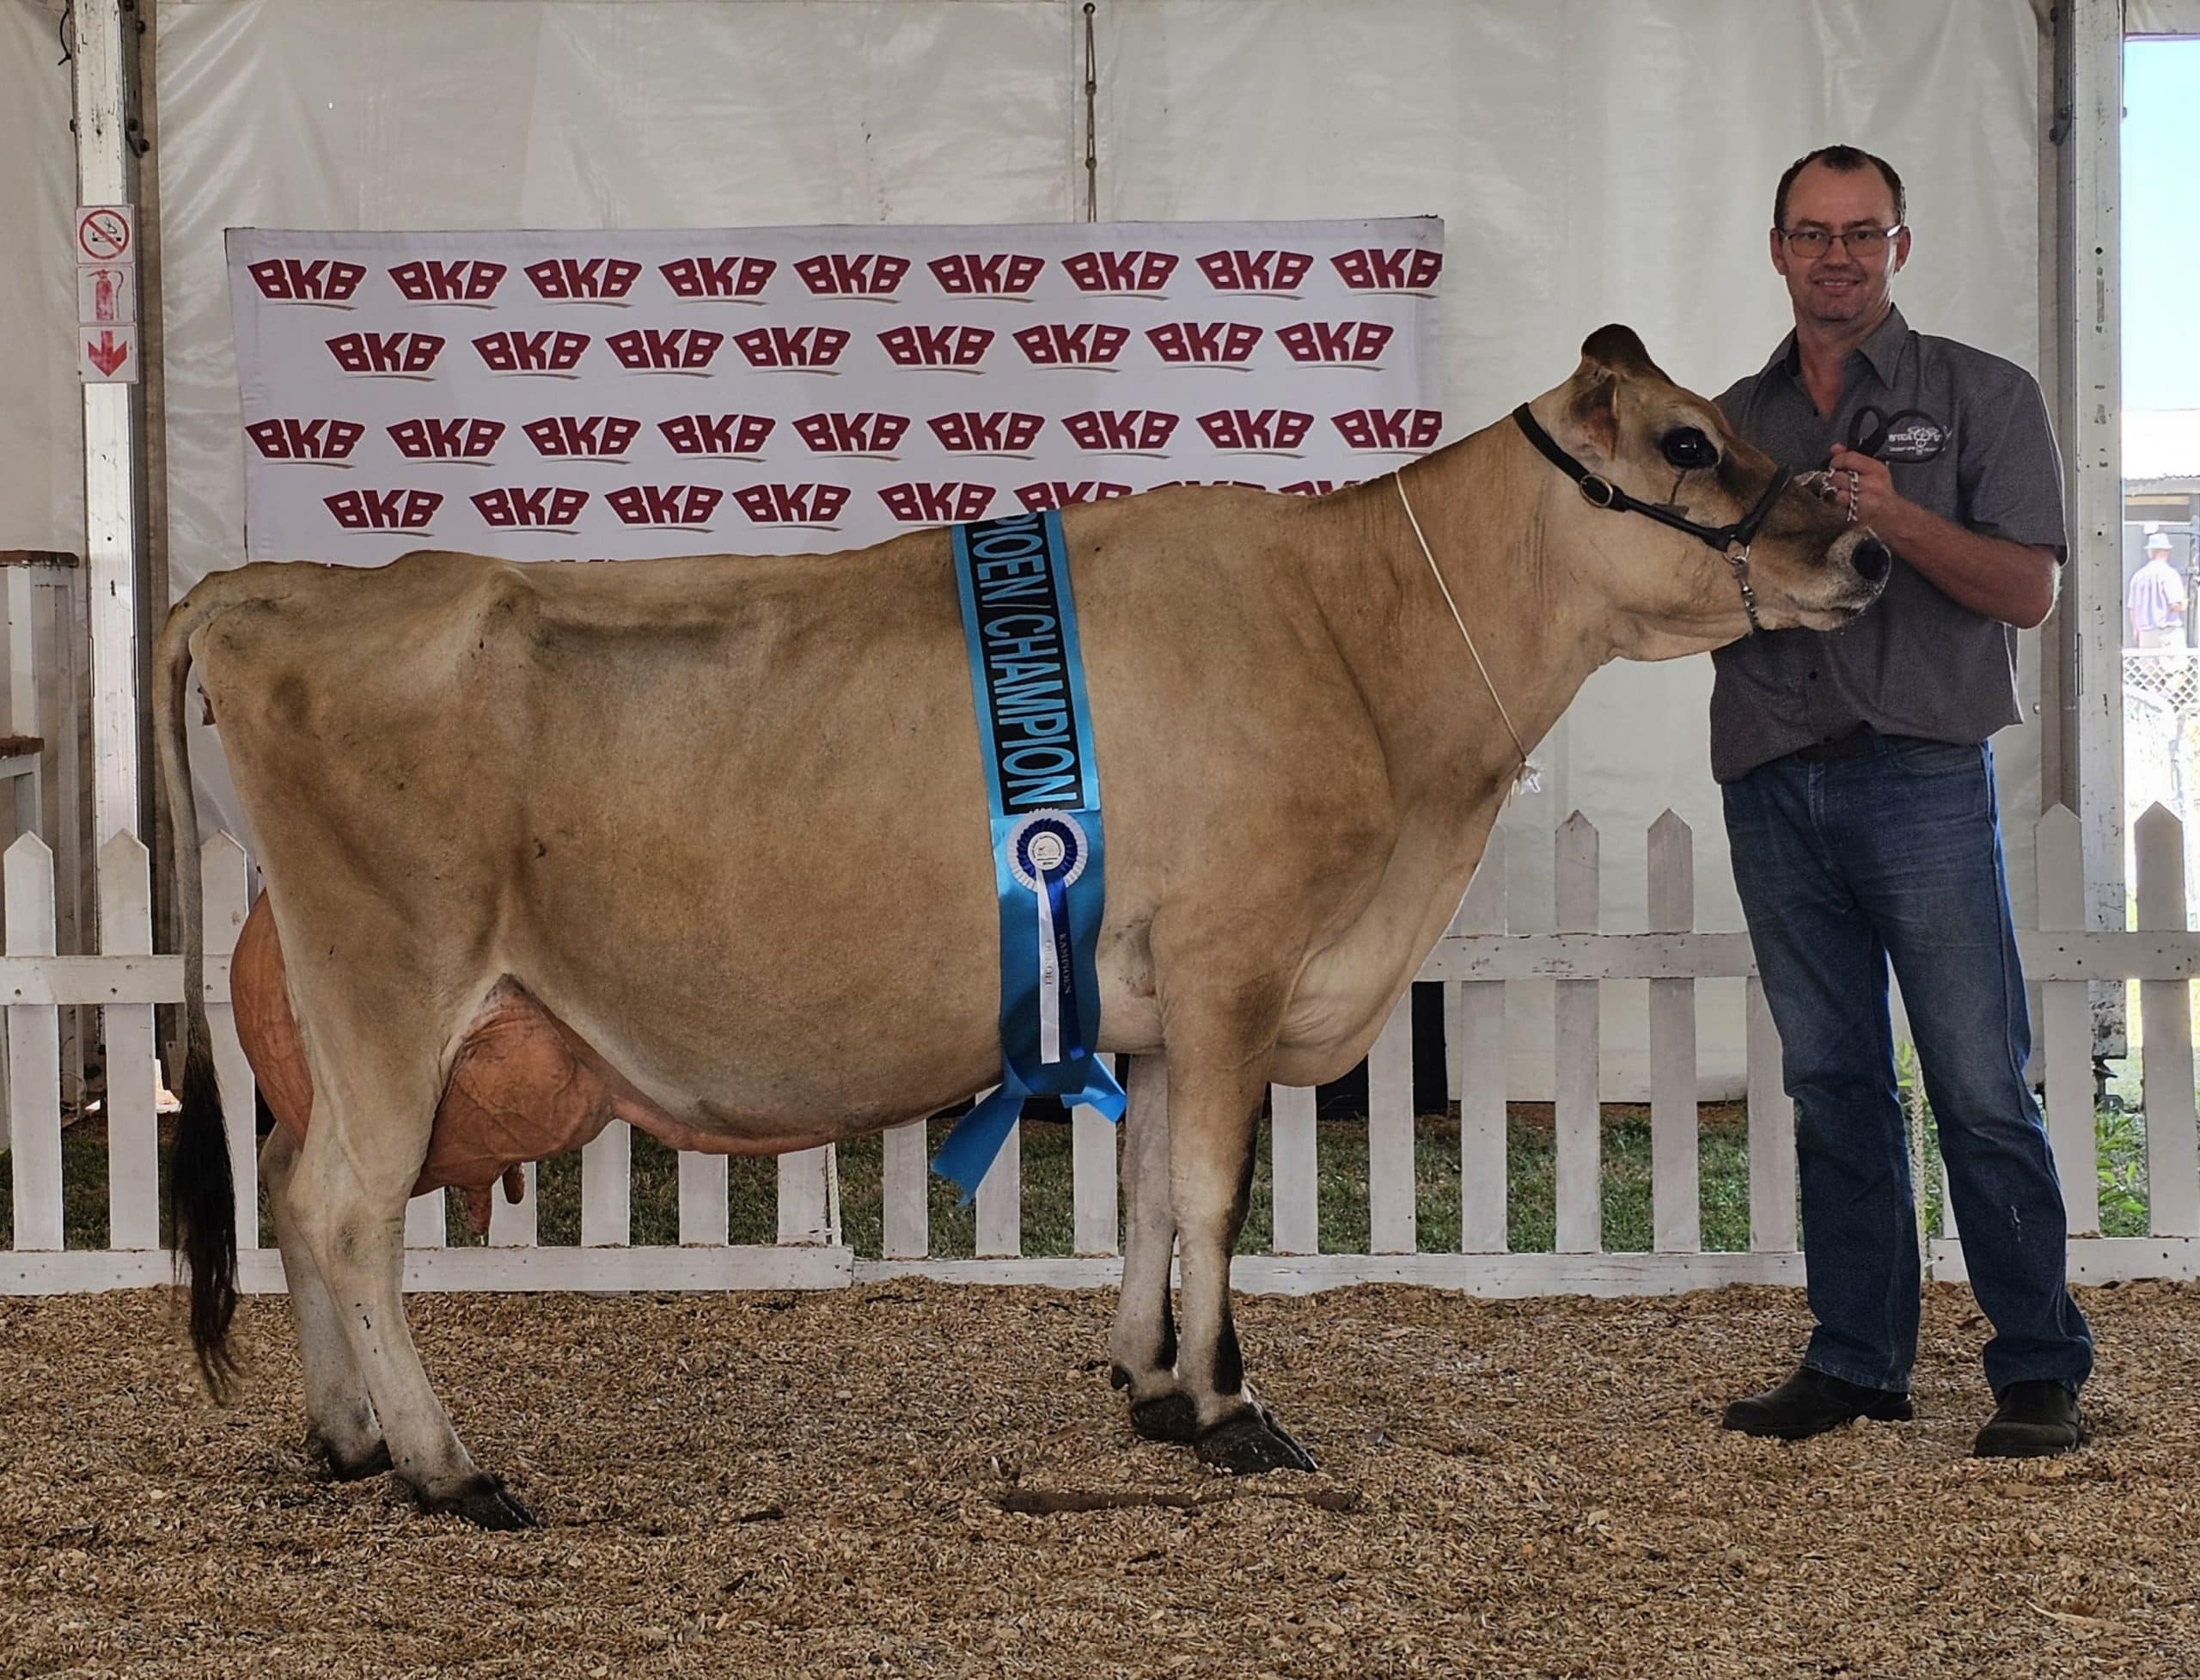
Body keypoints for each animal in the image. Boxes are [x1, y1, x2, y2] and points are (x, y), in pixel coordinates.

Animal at [155, 325, 1883, 1521]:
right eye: (1689, 439)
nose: (1865, 545)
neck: (1355, 638)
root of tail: (268, 585)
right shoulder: (1239, 964)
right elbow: (1215, 1196)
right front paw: (1234, 1411)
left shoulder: (1157, 995)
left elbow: (1146, 1190)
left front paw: (1149, 1384)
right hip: (391, 980)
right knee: (346, 1208)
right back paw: (447, 1467)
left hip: (326, 998)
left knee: (290, 1178)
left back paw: (346, 1436)